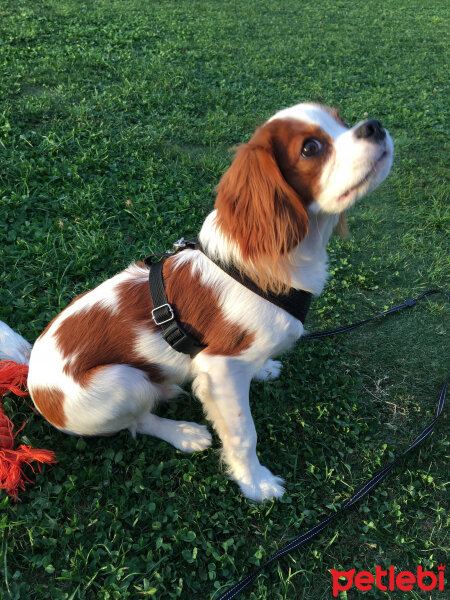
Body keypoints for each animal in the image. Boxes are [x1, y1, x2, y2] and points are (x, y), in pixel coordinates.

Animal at [1, 103, 392, 502]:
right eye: (310, 148)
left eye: (342, 120)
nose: (375, 127)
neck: (268, 263)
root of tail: (32, 373)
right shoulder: (220, 369)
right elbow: (244, 434)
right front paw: (255, 482)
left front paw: (264, 368)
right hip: (123, 382)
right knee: (138, 421)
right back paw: (183, 433)